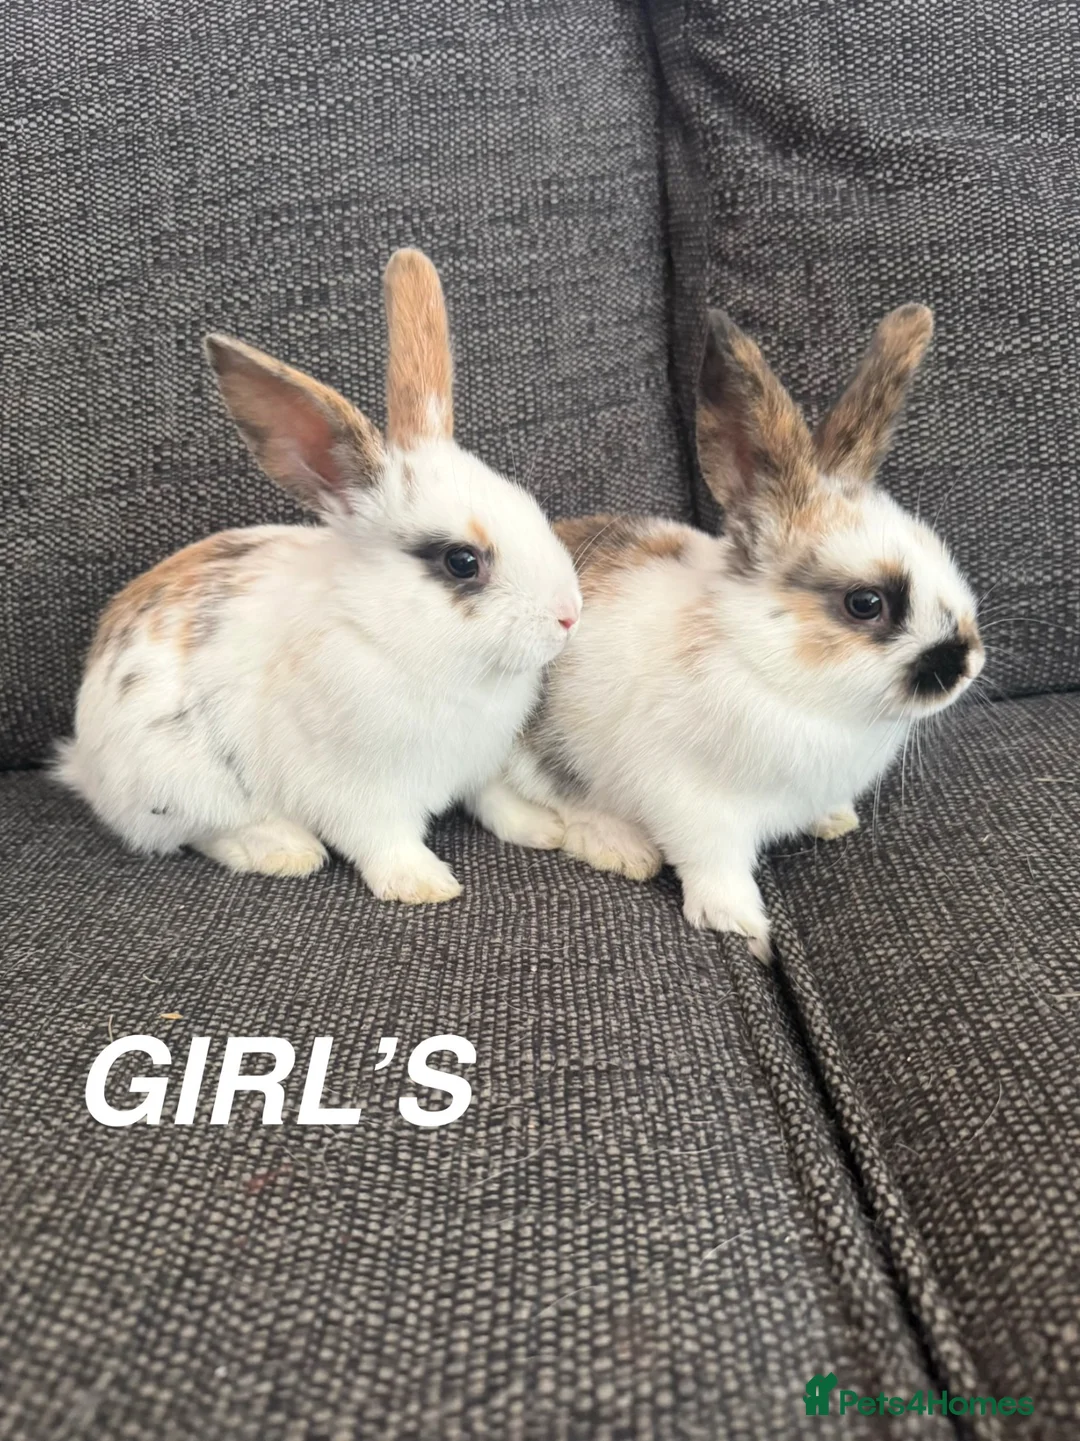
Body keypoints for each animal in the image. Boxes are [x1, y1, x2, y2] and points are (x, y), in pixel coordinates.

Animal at [57, 248, 582, 904]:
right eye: (462, 561)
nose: (570, 615)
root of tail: (85, 763)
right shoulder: (361, 795)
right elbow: (384, 841)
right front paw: (424, 885)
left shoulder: (479, 764)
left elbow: (494, 801)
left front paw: (544, 828)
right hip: (180, 782)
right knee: (196, 832)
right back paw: (284, 850)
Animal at [483, 304, 984, 958]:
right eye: (866, 603)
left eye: (941, 552)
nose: (965, 664)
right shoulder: (697, 808)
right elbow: (716, 868)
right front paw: (743, 928)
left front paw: (834, 820)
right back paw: (617, 845)